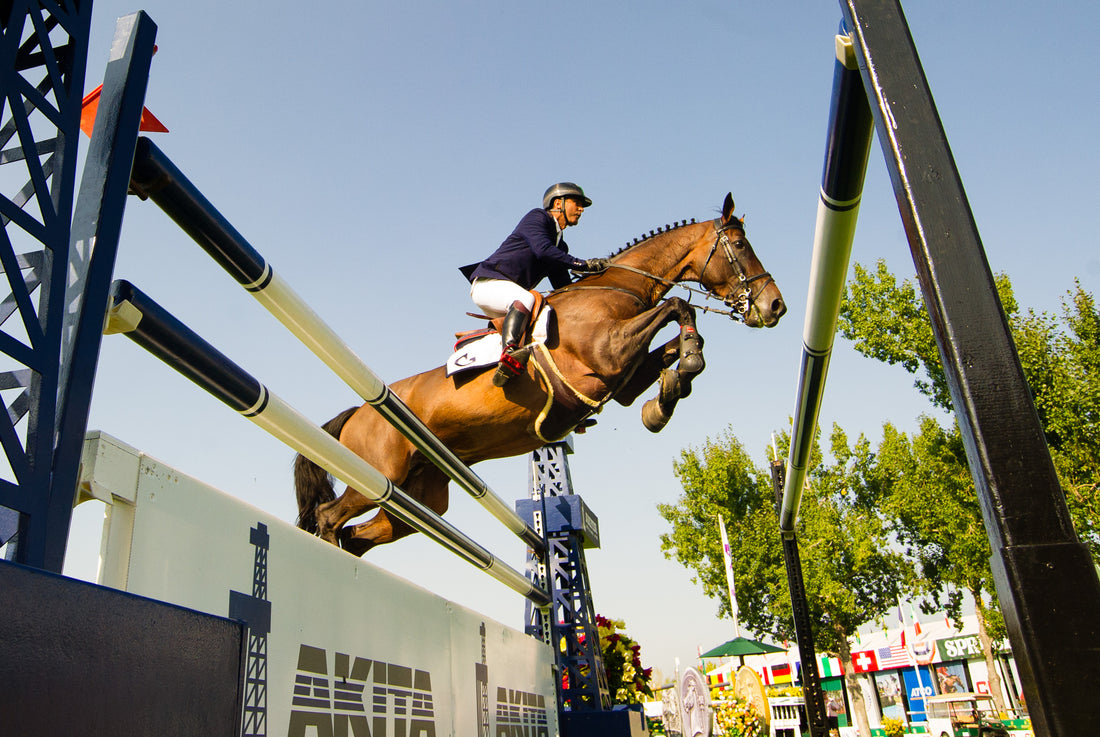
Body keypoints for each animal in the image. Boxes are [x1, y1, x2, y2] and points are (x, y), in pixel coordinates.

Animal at [297, 193, 787, 556]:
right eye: (741, 246)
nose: (775, 307)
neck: (618, 288)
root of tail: (357, 412)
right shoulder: (609, 354)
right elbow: (678, 306)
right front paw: (681, 371)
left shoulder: (621, 380)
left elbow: (675, 338)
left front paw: (667, 395)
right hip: (380, 475)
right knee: (329, 518)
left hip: (417, 497)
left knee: (359, 535)